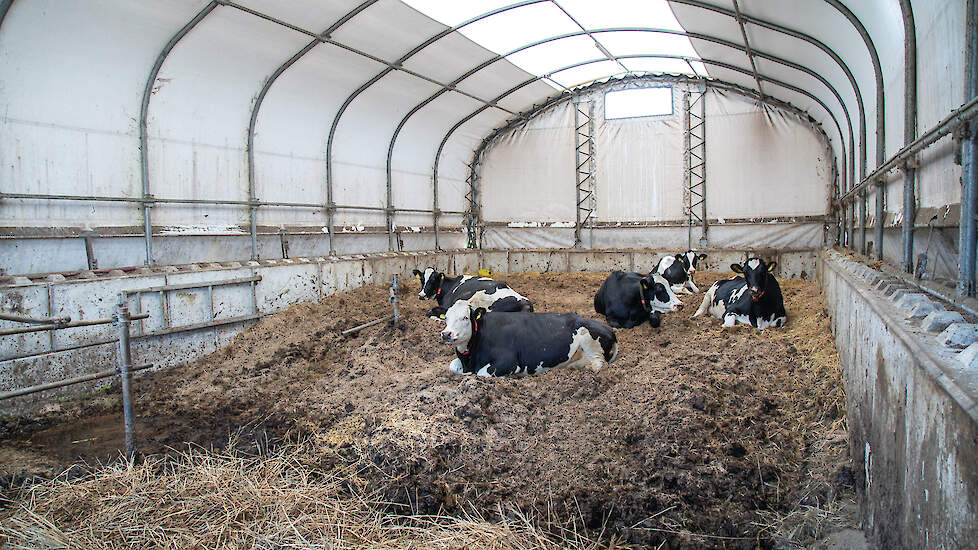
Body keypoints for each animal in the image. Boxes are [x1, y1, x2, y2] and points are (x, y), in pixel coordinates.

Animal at [442, 300, 616, 378]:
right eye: (446, 318)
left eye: (465, 317)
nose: (446, 334)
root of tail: (607, 328)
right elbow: (452, 366)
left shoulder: (509, 362)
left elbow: (482, 373)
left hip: (591, 344)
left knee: (598, 366)